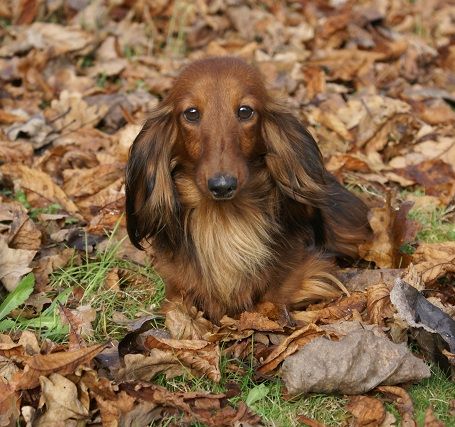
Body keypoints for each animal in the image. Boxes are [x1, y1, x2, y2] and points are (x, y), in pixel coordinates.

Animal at [124, 57, 370, 324]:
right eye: (191, 113)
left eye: (245, 111)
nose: (222, 185)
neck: (224, 221)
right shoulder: (176, 288)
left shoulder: (308, 272)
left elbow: (272, 296)